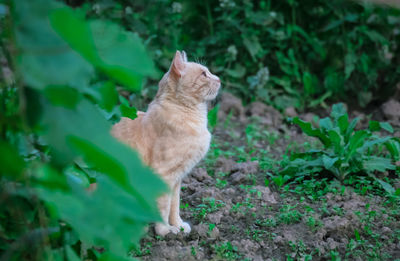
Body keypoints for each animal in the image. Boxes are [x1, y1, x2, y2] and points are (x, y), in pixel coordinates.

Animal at [111, 49, 220, 235]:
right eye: (204, 74)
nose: (219, 79)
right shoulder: (164, 174)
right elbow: (163, 206)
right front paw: (165, 230)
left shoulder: (177, 178)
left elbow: (174, 205)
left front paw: (178, 225)